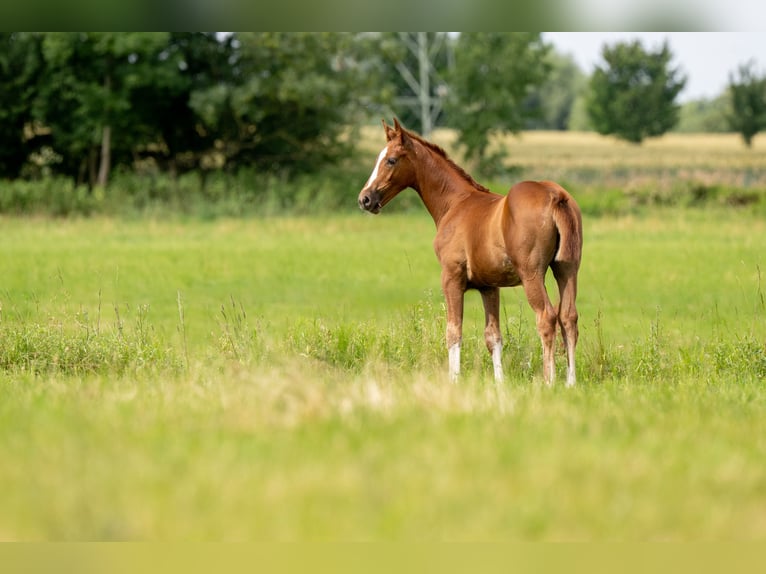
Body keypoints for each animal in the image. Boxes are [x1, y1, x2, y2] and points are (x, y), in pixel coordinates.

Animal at [358, 119, 583, 385]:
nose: (365, 199)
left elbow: (453, 332)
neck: (455, 204)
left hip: (532, 274)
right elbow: (493, 336)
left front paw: (453, 381)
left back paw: (549, 382)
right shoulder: (489, 286)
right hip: (566, 269)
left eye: (391, 160)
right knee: (568, 317)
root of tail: (556, 195)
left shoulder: (451, 277)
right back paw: (570, 383)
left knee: (547, 317)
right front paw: (499, 384)